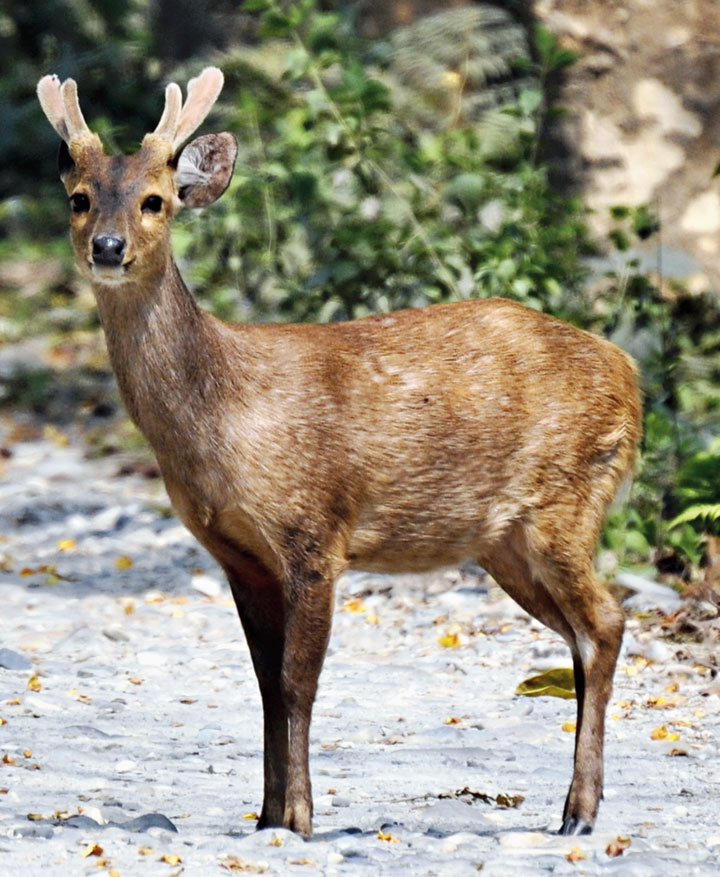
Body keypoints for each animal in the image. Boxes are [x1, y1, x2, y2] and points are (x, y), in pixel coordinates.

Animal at [38, 66, 640, 836]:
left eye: (155, 200)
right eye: (80, 198)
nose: (108, 247)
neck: (222, 416)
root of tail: (631, 376)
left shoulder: (314, 530)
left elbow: (298, 682)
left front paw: (298, 817)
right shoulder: (238, 554)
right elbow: (265, 684)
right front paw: (266, 815)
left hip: (566, 501)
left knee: (606, 623)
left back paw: (580, 813)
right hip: (504, 540)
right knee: (583, 635)